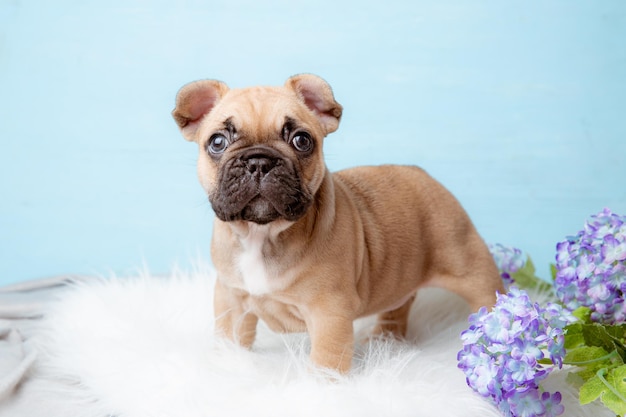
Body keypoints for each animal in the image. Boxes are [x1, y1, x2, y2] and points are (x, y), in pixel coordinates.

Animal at [173, 73, 504, 372]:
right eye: (217, 142)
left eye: (301, 140)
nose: (259, 162)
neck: (262, 233)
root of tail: (424, 176)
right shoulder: (231, 300)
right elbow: (229, 337)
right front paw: (227, 362)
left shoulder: (329, 314)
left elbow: (327, 360)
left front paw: (323, 388)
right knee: (399, 304)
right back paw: (385, 340)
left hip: (468, 263)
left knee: (487, 294)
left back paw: (493, 329)